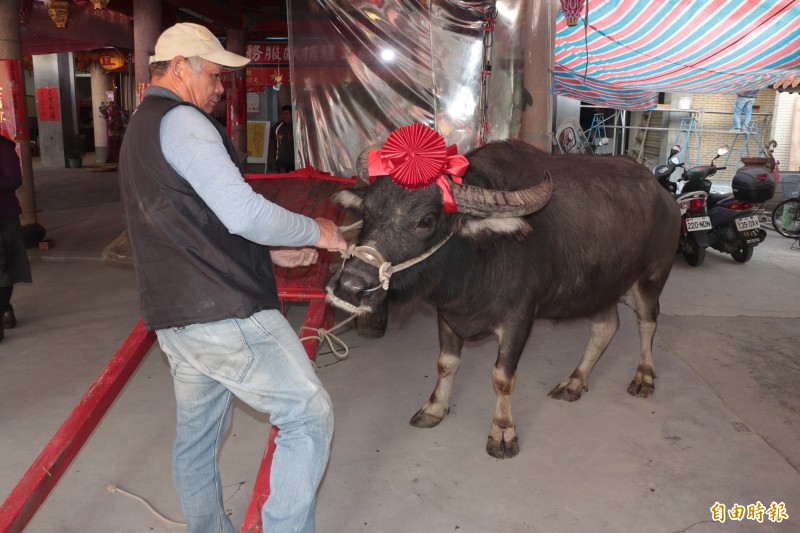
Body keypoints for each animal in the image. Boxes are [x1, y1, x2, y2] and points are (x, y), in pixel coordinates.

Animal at [328, 137, 680, 458]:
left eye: (426, 220)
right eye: (368, 210)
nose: (350, 285)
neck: (478, 261)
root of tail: (664, 197)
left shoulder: (519, 319)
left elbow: (502, 377)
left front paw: (502, 433)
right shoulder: (448, 315)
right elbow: (446, 364)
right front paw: (435, 408)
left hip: (652, 276)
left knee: (647, 321)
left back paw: (643, 377)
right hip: (598, 288)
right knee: (606, 326)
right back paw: (574, 382)